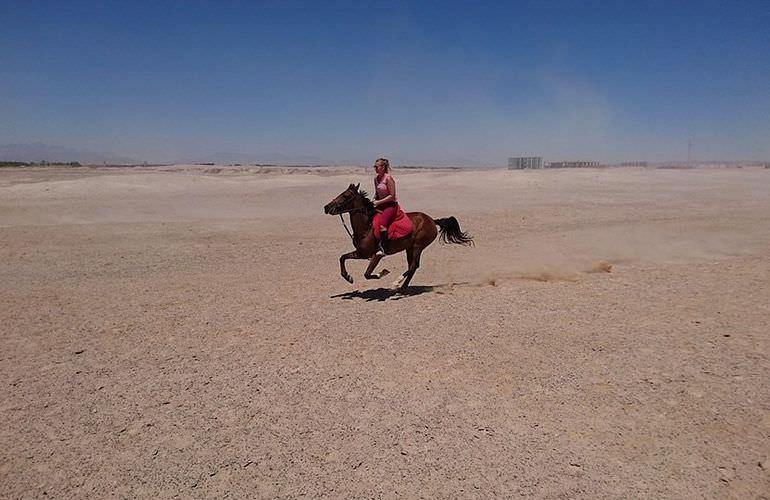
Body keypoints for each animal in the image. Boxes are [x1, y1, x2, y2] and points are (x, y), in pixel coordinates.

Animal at [320, 183, 472, 290]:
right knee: (413, 266)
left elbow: (367, 274)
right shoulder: (362, 253)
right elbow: (342, 257)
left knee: (413, 266)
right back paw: (402, 287)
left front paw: (383, 272)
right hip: (409, 248)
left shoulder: (377, 255)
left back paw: (396, 284)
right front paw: (348, 277)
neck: (366, 227)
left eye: (346, 196)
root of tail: (431, 220)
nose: (326, 207)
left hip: (417, 246)